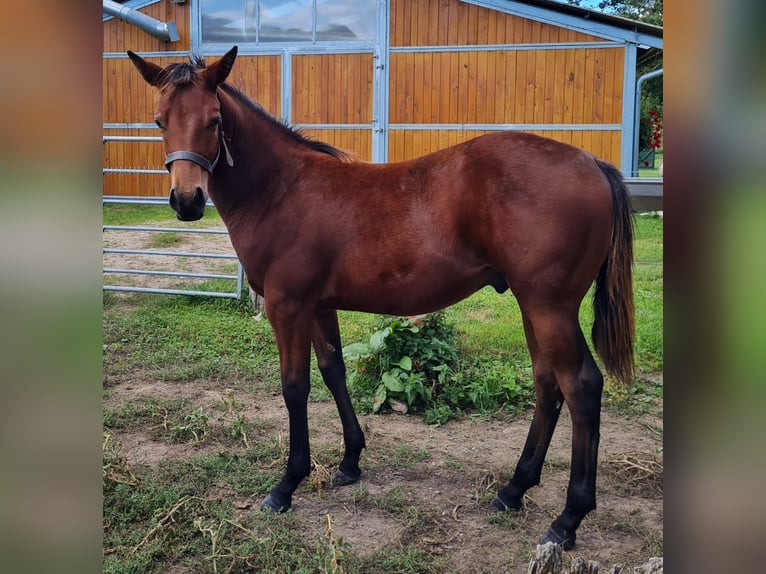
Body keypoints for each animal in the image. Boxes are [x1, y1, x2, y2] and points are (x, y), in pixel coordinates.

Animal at [130, 47, 636, 552]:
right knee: (548, 385)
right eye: (159, 120)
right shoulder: (319, 306)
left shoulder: (287, 306)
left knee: (581, 387)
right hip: (533, 307)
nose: (187, 200)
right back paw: (513, 489)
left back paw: (568, 519)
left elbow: (295, 387)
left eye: (214, 119)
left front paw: (287, 485)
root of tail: (592, 162)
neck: (281, 189)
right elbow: (333, 371)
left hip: (550, 309)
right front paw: (350, 461)